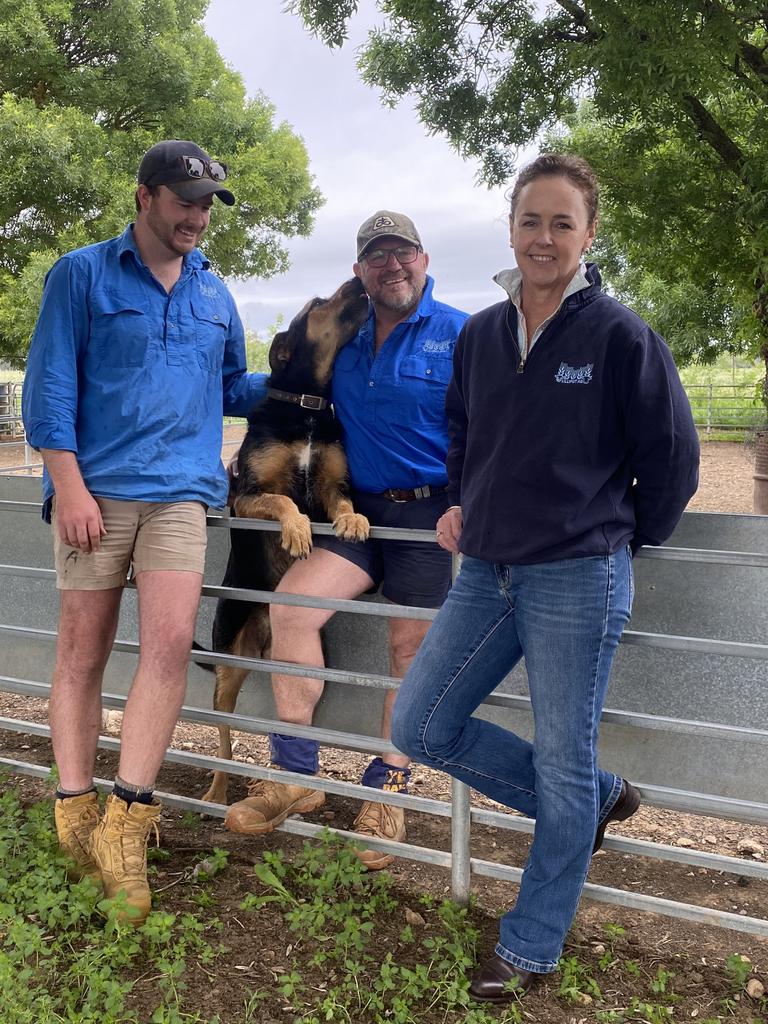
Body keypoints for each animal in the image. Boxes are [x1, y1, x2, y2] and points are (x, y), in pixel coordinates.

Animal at [201, 276, 372, 802]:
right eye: (318, 303)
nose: (359, 280)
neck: (307, 406)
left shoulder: (332, 485)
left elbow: (341, 504)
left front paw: (355, 523)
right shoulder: (247, 494)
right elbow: (282, 501)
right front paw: (296, 533)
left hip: (297, 662)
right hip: (228, 667)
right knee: (223, 735)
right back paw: (218, 791)